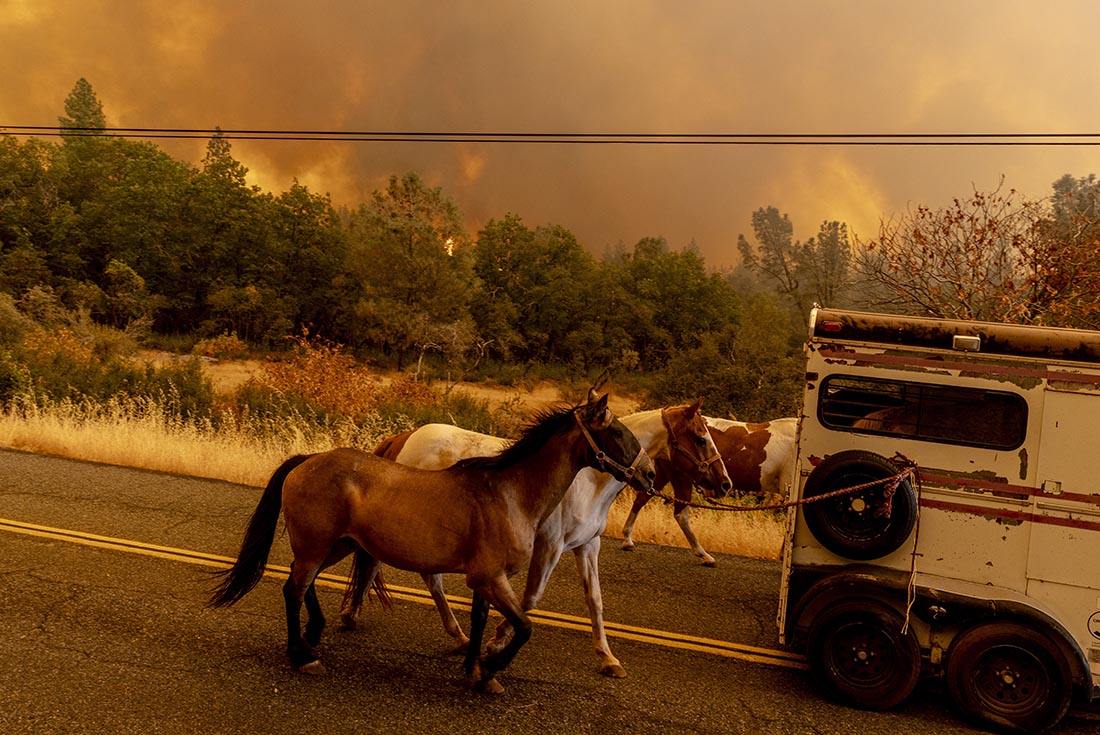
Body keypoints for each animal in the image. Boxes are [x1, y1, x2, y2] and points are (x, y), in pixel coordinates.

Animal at [207, 393, 651, 690]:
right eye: (617, 431)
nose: (647, 474)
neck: (509, 492)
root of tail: (309, 459)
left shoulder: (486, 579)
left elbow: (480, 620)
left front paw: (474, 668)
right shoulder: (491, 577)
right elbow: (523, 627)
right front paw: (491, 668)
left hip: (335, 546)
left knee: (303, 584)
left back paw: (312, 636)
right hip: (316, 545)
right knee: (294, 589)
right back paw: (302, 655)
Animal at [338, 398, 726, 682]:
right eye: (701, 437)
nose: (724, 483)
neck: (589, 481)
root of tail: (405, 437)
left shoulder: (587, 546)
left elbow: (595, 601)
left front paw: (608, 658)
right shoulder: (550, 546)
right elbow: (531, 598)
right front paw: (496, 644)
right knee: (399, 569)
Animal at [624, 415, 796, 567]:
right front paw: (784, 555)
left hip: (664, 474)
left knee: (641, 498)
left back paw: (627, 539)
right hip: (682, 479)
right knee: (680, 515)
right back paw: (704, 555)